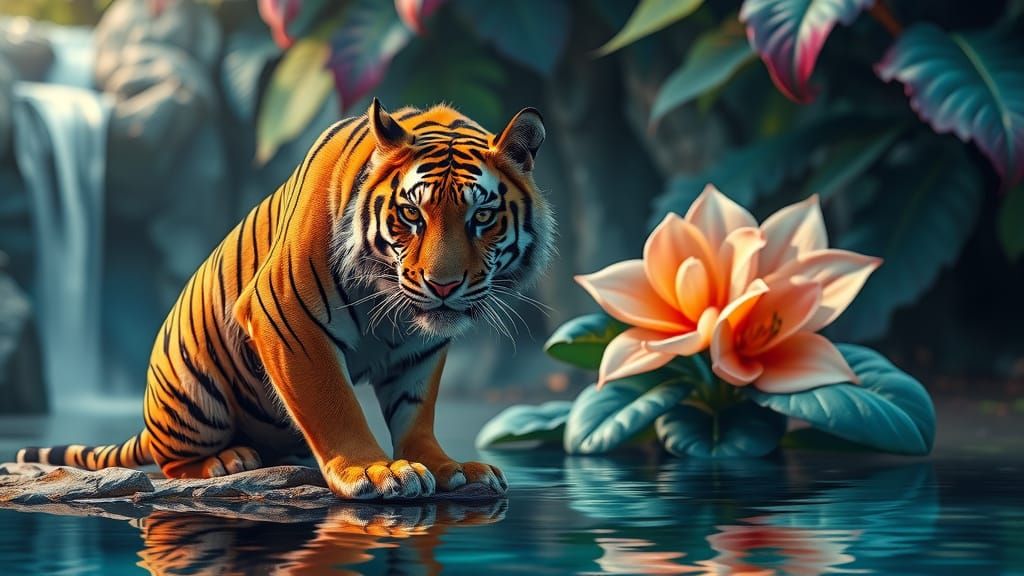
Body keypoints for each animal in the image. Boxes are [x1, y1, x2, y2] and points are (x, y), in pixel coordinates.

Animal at [17, 99, 553, 500]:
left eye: (481, 218)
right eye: (411, 215)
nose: (442, 285)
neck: (393, 308)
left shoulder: (419, 349)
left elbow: (416, 410)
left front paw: (445, 465)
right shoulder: (286, 311)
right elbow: (333, 402)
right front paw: (375, 471)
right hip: (192, 390)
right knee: (172, 461)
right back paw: (226, 460)